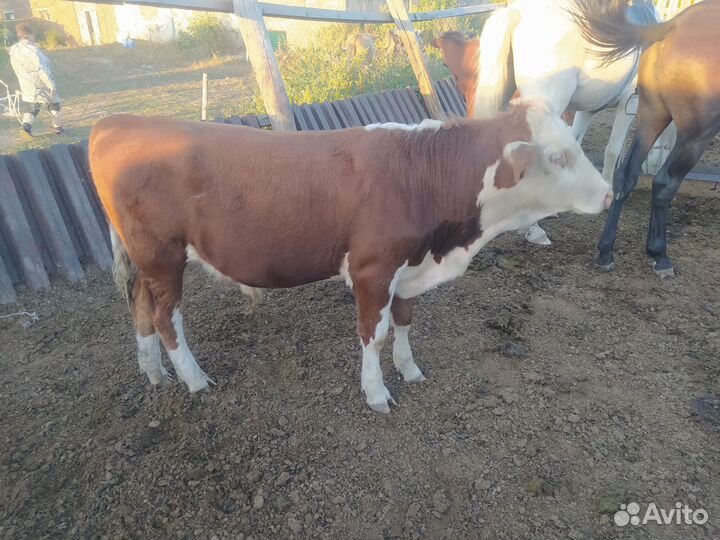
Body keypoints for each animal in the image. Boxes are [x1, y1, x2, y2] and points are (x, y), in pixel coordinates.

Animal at [89, 100, 612, 413]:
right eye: (559, 157)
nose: (609, 194)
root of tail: (116, 121)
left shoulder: (408, 266)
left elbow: (404, 320)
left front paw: (409, 369)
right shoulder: (372, 269)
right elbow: (373, 334)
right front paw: (377, 391)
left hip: (145, 259)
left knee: (141, 309)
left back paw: (154, 373)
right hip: (163, 255)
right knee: (165, 317)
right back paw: (193, 379)